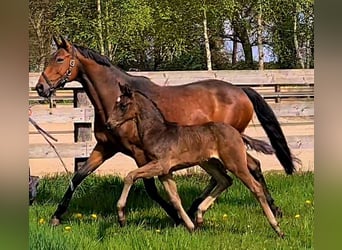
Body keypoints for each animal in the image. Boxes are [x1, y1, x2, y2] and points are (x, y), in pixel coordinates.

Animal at [106, 83, 284, 236]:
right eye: (115, 104)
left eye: (123, 105)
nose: (108, 124)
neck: (157, 132)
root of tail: (237, 133)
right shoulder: (165, 172)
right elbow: (175, 199)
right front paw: (190, 227)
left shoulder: (160, 165)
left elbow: (130, 175)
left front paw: (121, 217)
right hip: (209, 163)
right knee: (225, 180)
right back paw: (198, 215)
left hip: (235, 163)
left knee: (255, 187)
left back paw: (277, 228)